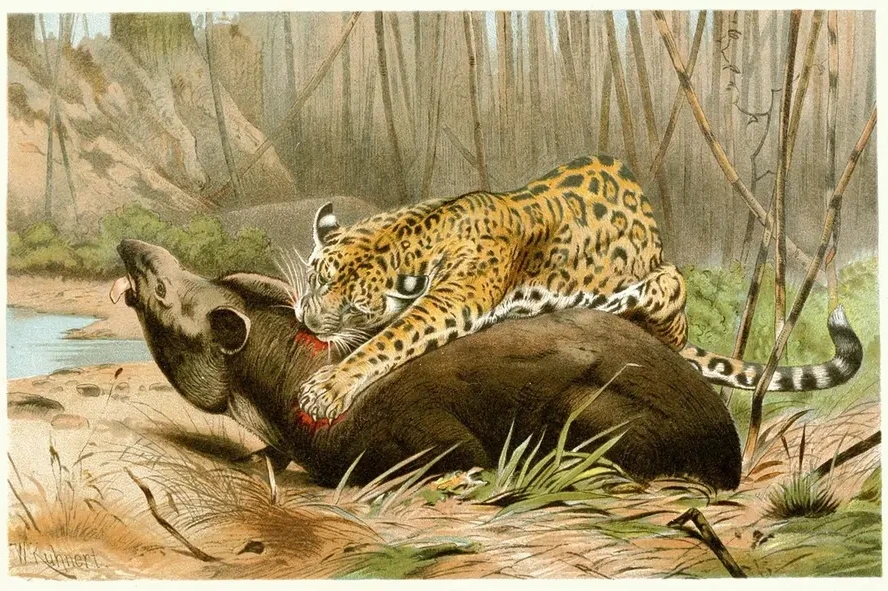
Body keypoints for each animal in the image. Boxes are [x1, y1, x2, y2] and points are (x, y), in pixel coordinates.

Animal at [290, 155, 862, 419]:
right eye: (317, 278)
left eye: (354, 308)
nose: (307, 322)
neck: (418, 228)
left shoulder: (454, 300)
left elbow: (393, 338)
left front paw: (329, 387)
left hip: (666, 284)